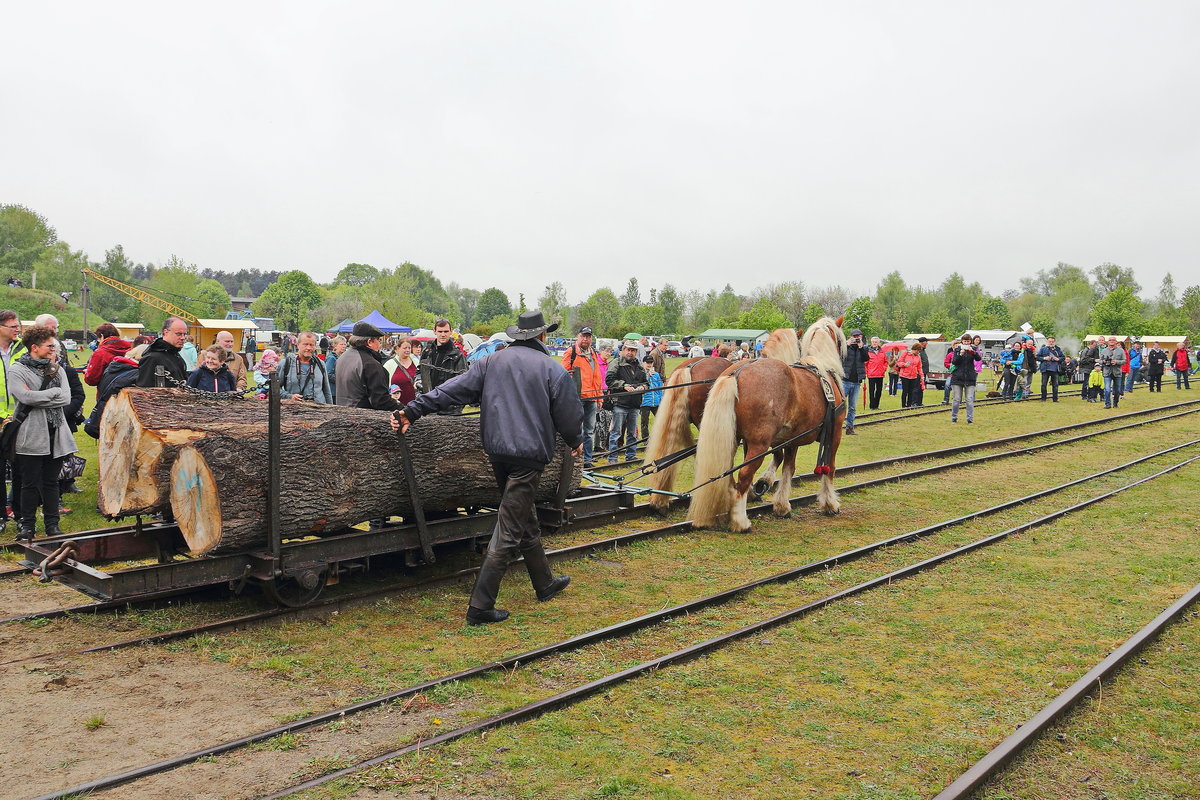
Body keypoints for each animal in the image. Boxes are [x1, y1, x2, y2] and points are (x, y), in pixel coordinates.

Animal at [691, 316, 849, 534]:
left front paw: (781, 505)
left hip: (734, 439)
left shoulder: (791, 439)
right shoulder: (834, 434)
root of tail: (736, 373)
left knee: (729, 473)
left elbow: (788, 468)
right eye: (841, 340)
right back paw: (740, 522)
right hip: (759, 443)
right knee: (744, 474)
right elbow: (829, 468)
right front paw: (830, 504)